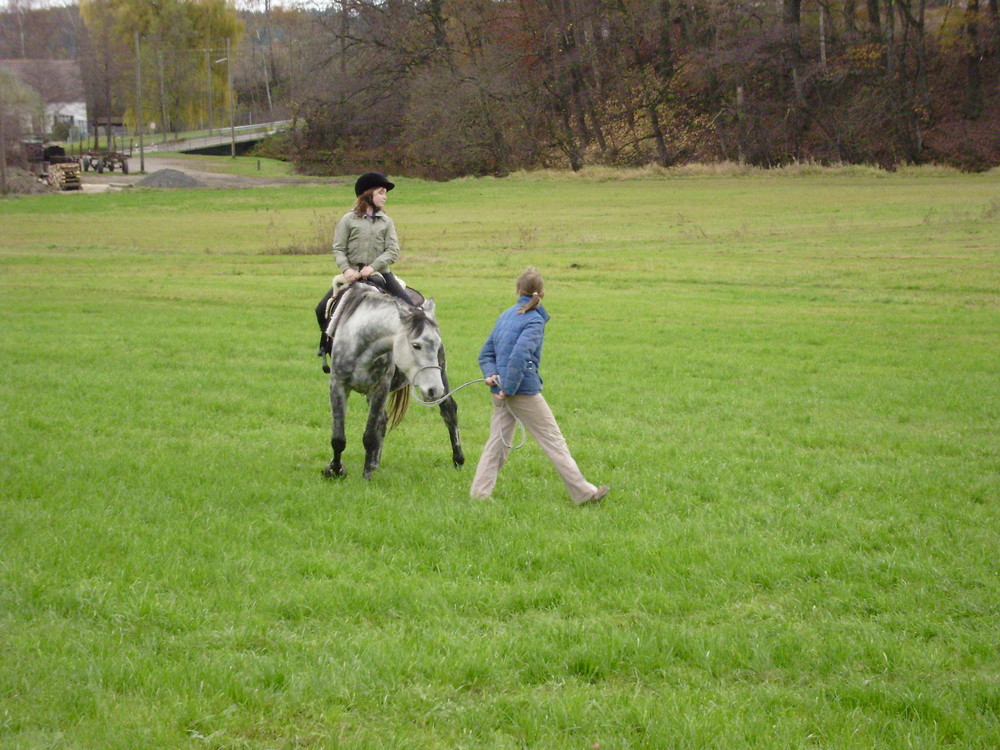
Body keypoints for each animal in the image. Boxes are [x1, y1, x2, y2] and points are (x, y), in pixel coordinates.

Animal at [322, 284, 462, 482]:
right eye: (416, 345)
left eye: (436, 344)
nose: (434, 390)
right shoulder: (338, 386)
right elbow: (338, 438)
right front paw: (335, 470)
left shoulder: (380, 388)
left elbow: (370, 436)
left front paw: (366, 475)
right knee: (383, 421)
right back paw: (375, 463)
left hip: (441, 374)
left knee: (449, 412)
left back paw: (458, 459)